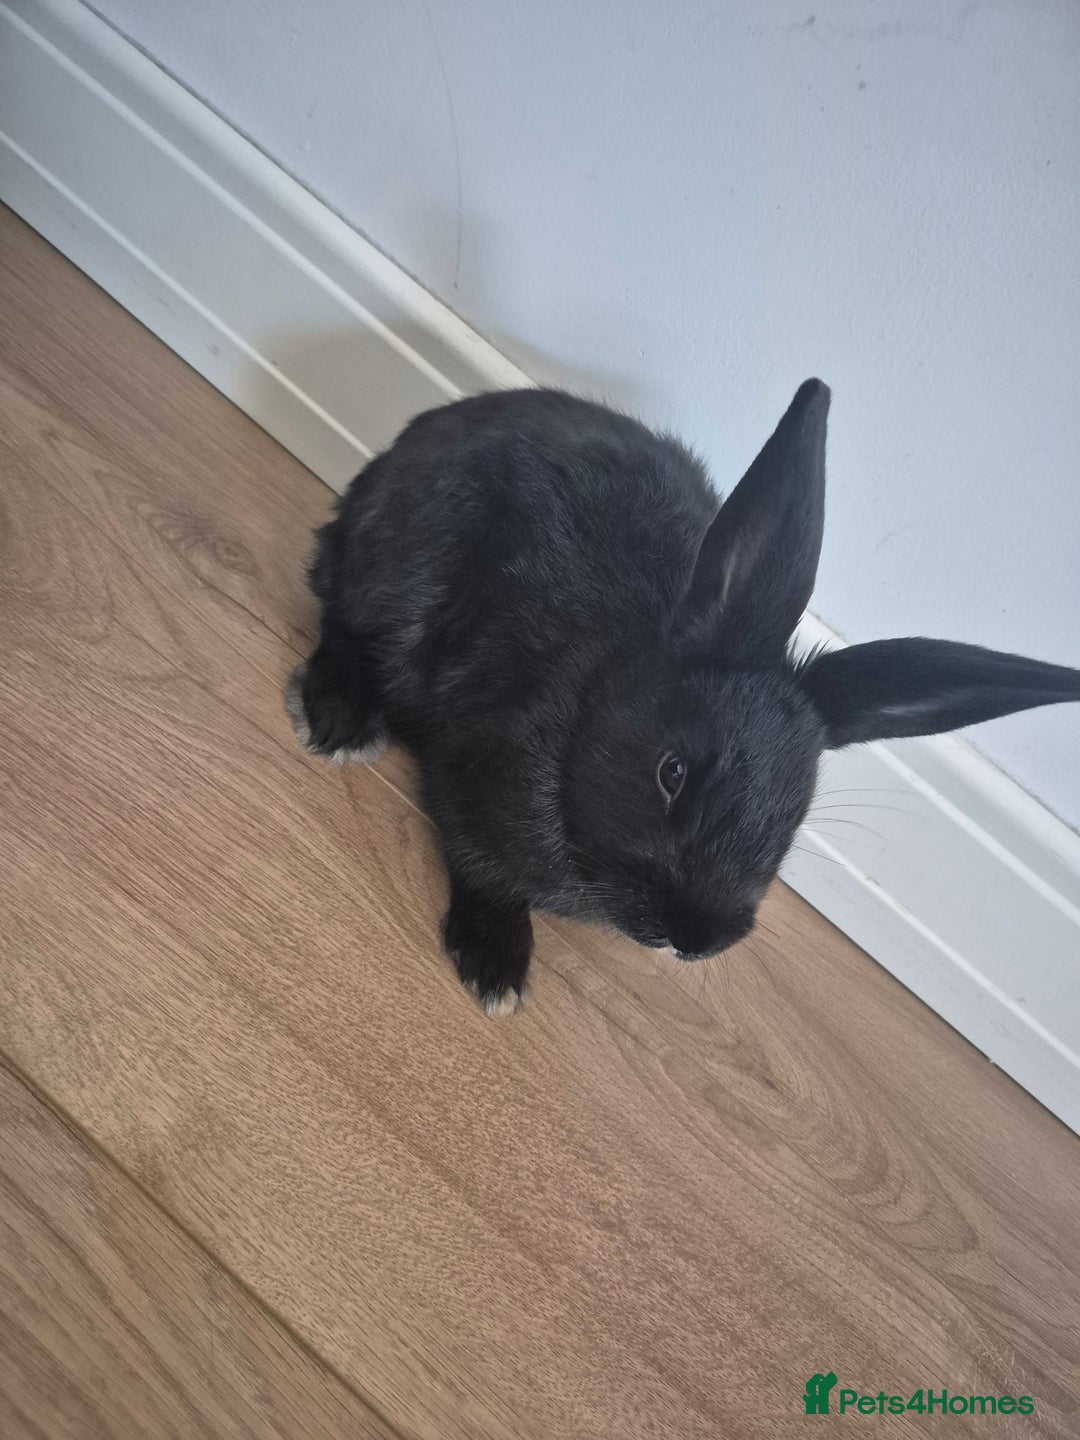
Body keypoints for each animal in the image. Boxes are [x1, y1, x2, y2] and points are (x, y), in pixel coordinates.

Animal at [287, 381, 1080, 1015]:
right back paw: (338, 718)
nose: (695, 938)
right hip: (400, 571)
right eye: (671, 773)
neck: (583, 726)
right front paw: (496, 966)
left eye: (793, 819)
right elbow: (482, 865)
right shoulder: (469, 769)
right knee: (341, 609)